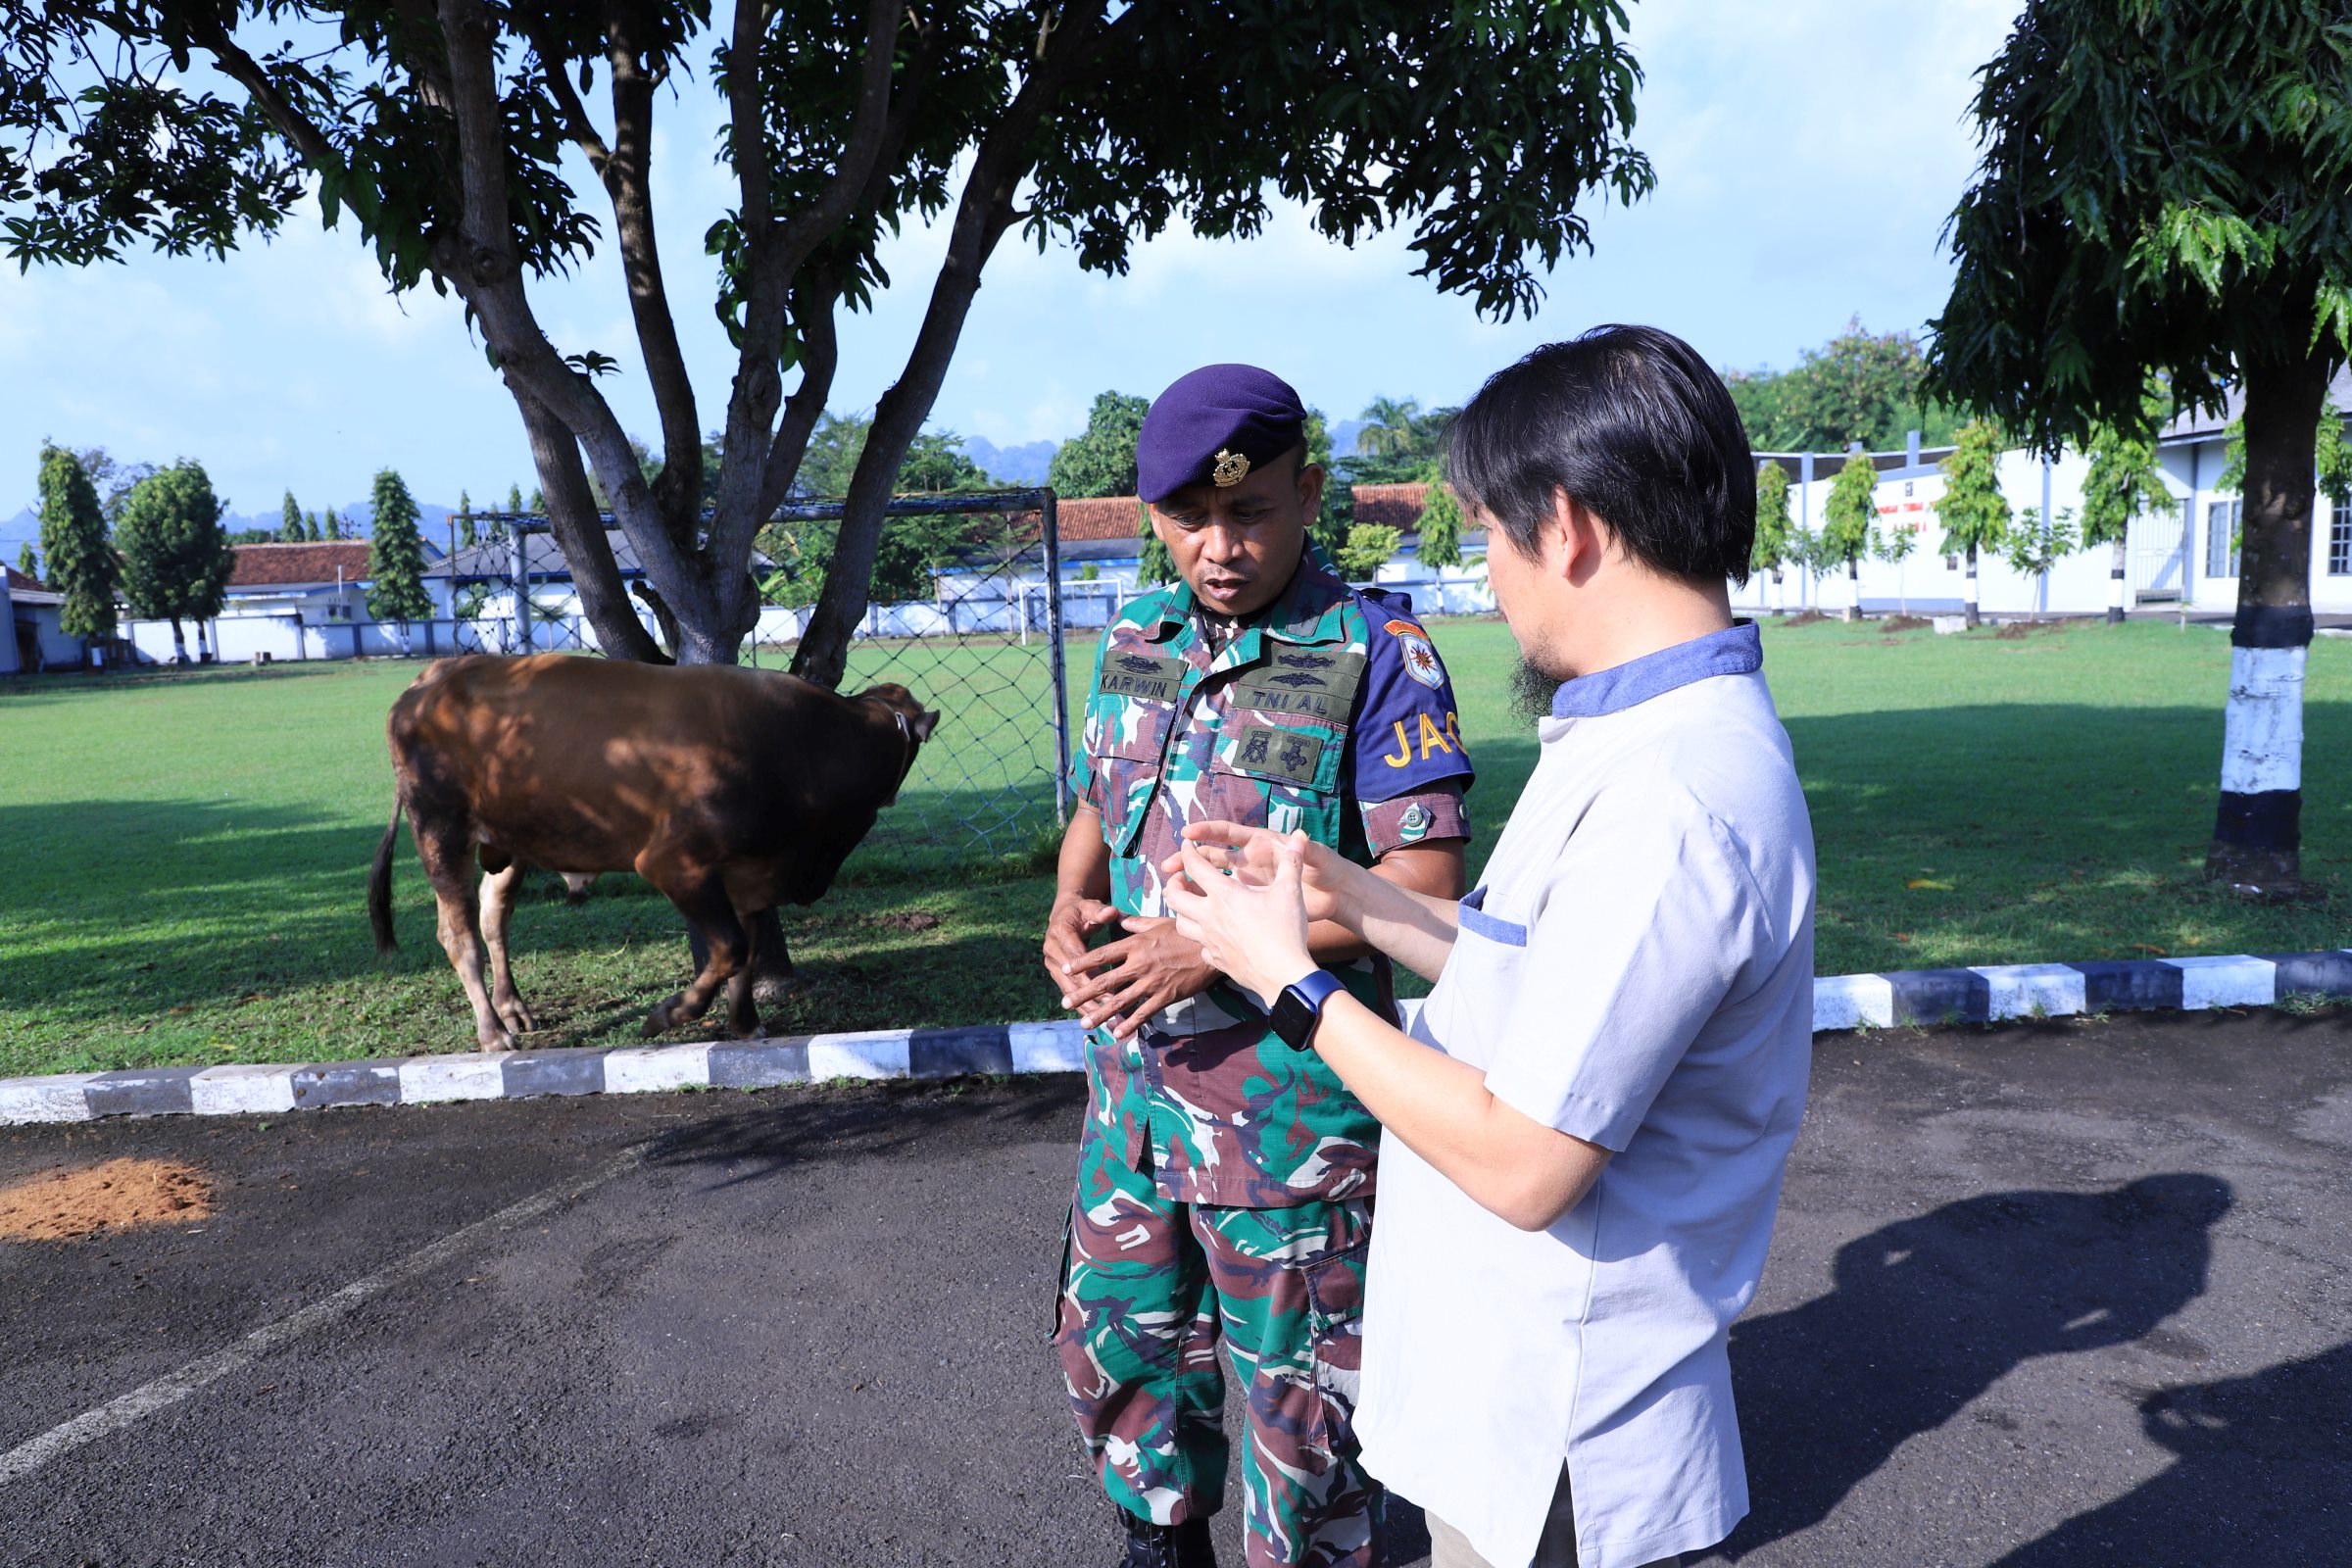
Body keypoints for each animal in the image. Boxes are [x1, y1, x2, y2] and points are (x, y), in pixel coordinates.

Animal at [369, 654, 939, 1051]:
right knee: (458, 932)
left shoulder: (750, 875)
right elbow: (729, 948)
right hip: (439, 829)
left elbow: (747, 953)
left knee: (494, 912)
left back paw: (514, 1009)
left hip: (511, 840)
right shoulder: (674, 863)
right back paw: (492, 1032)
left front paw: (746, 1026)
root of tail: (435, 675)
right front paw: (671, 1014)